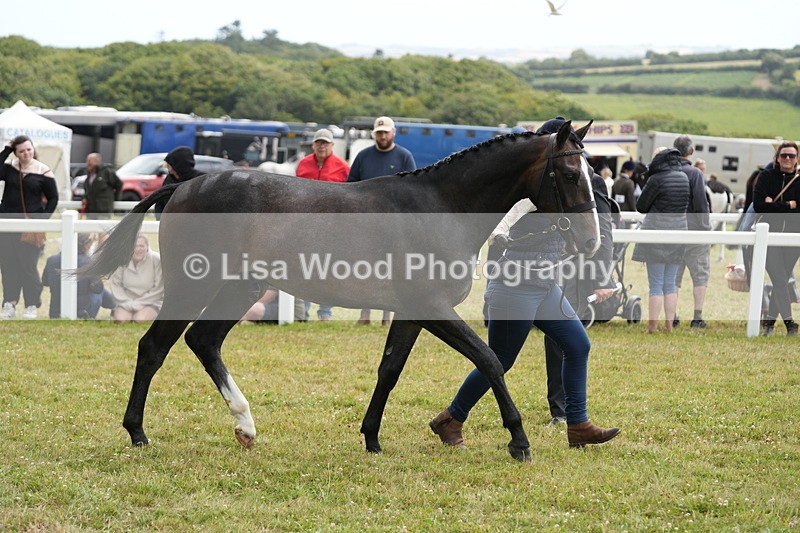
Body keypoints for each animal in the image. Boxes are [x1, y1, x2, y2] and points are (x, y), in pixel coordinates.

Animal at [79, 120, 599, 462]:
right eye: (572, 174)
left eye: (593, 173)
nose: (592, 240)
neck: (441, 208)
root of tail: (184, 187)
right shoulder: (432, 307)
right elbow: (489, 359)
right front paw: (519, 441)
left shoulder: (412, 312)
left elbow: (390, 370)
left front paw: (371, 439)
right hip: (195, 285)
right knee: (155, 346)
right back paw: (138, 433)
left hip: (240, 288)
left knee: (202, 342)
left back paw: (245, 426)